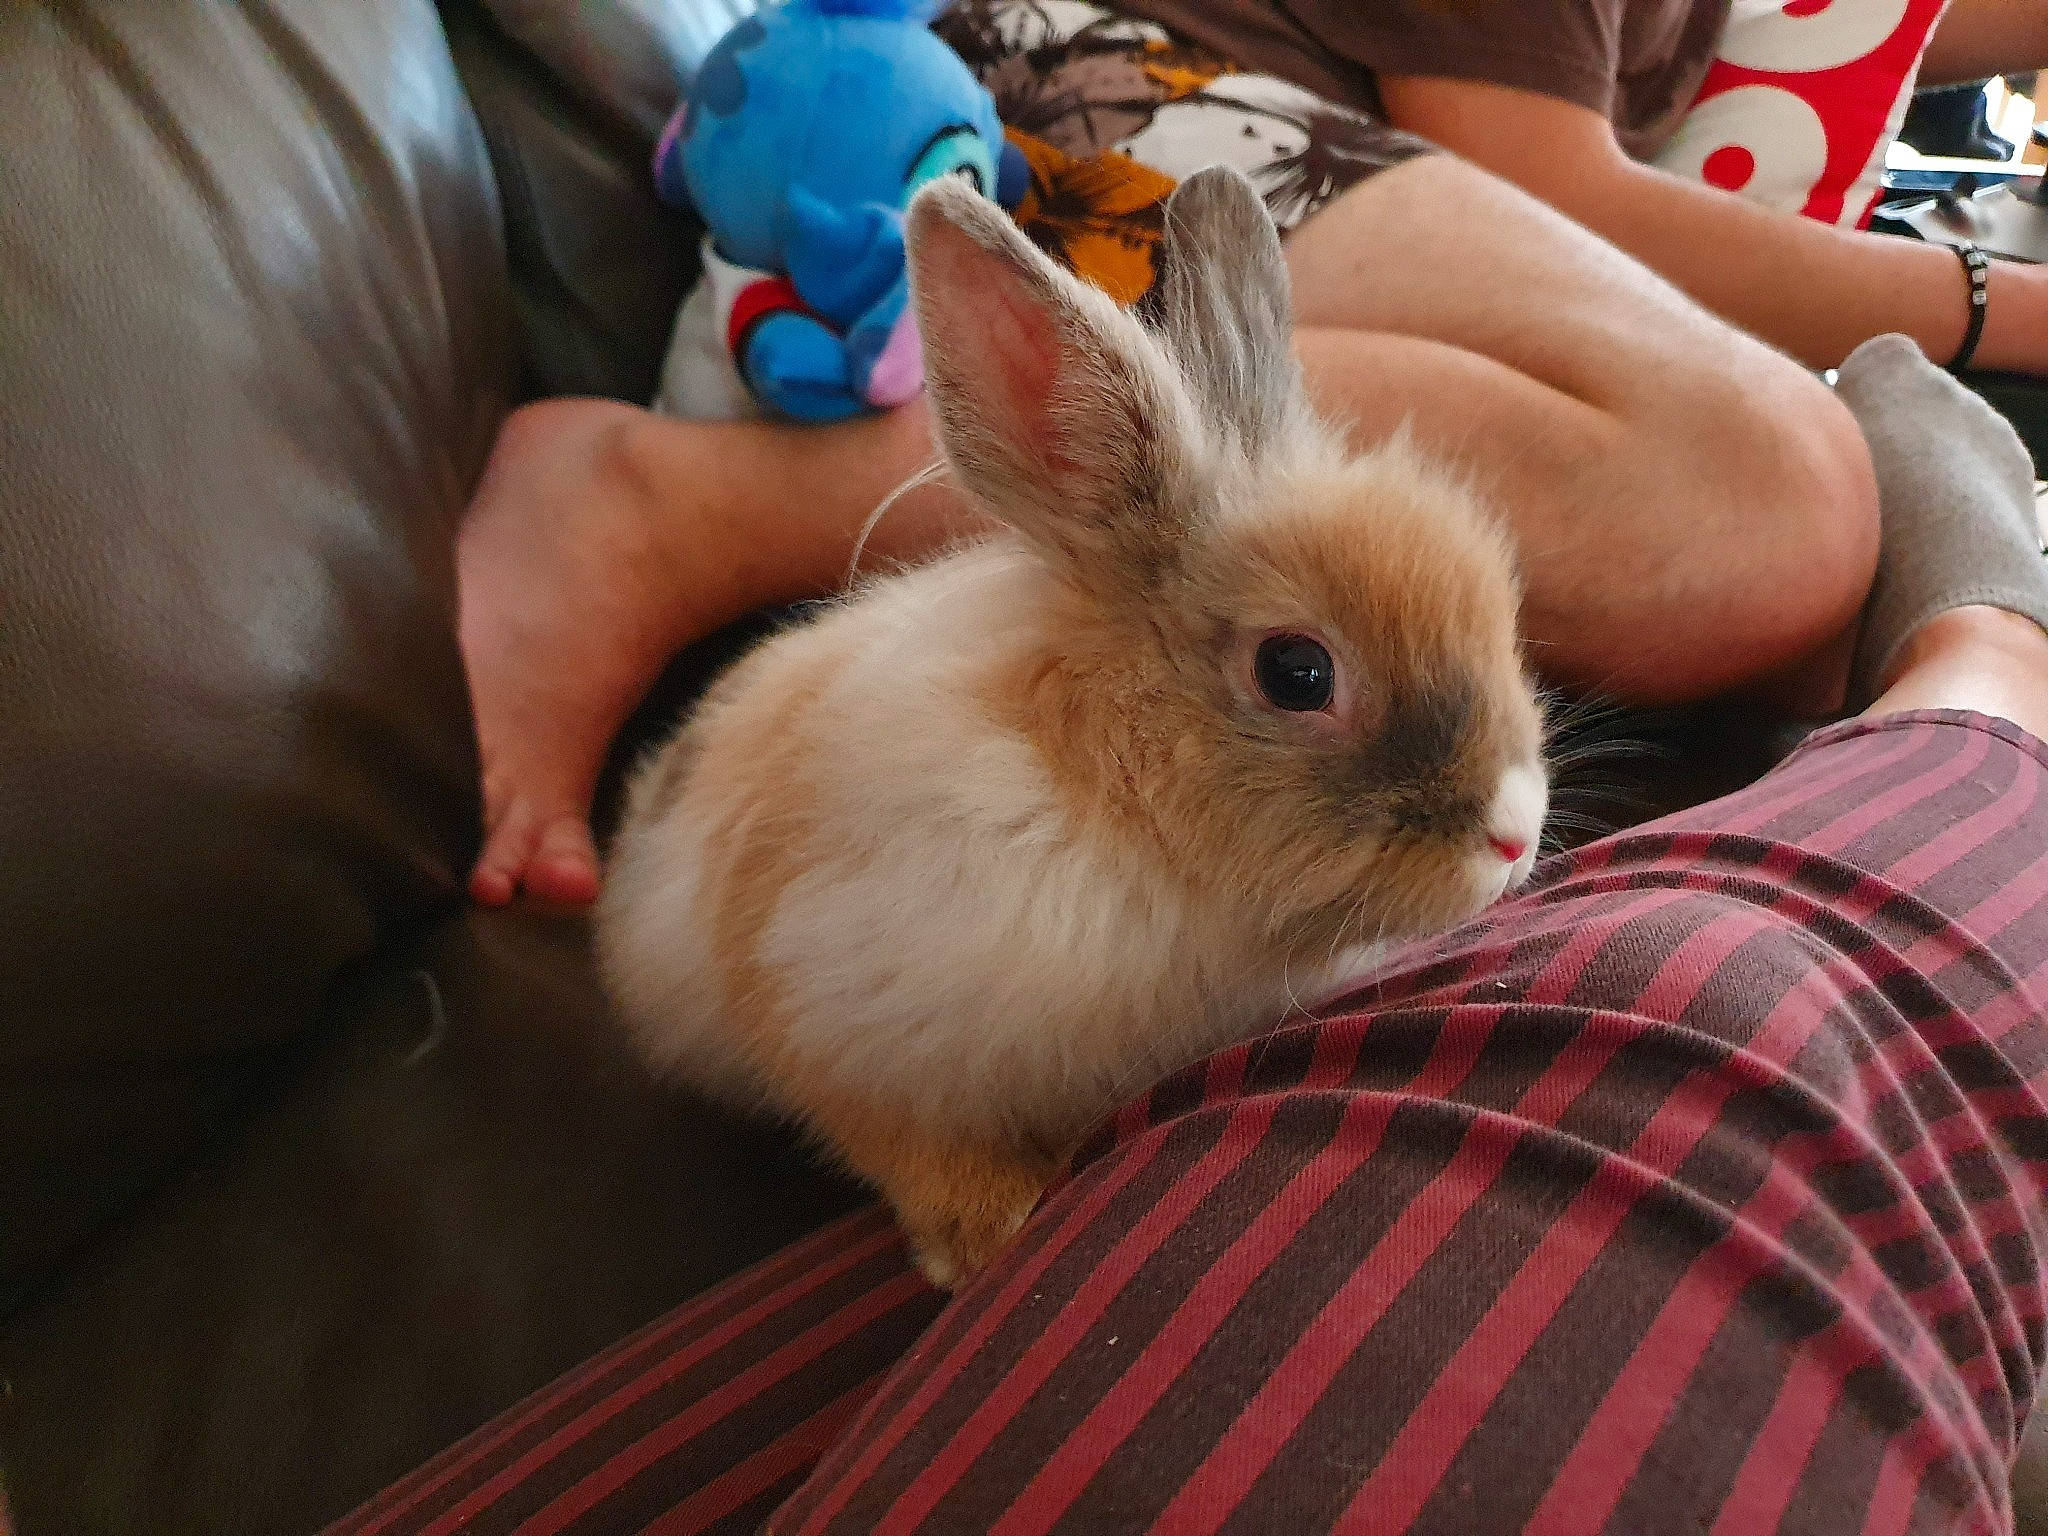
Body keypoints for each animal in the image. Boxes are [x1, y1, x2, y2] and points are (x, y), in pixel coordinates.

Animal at [597, 166, 1549, 1289]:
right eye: (1296, 671)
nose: (1515, 833)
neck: (1125, 816)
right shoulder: (821, 1002)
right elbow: (897, 1138)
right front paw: (986, 1235)